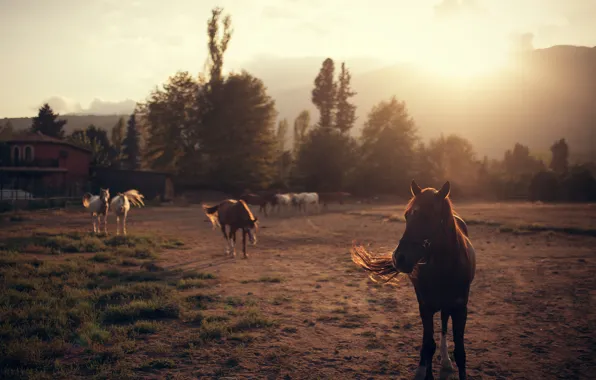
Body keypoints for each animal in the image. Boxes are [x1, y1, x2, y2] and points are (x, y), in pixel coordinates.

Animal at [352, 181, 478, 380]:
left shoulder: (460, 308)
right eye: (406, 216)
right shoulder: (425, 306)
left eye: (428, 216)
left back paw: (445, 360)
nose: (399, 258)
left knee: (443, 326)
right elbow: (428, 345)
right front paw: (425, 372)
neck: (444, 268)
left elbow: (460, 352)